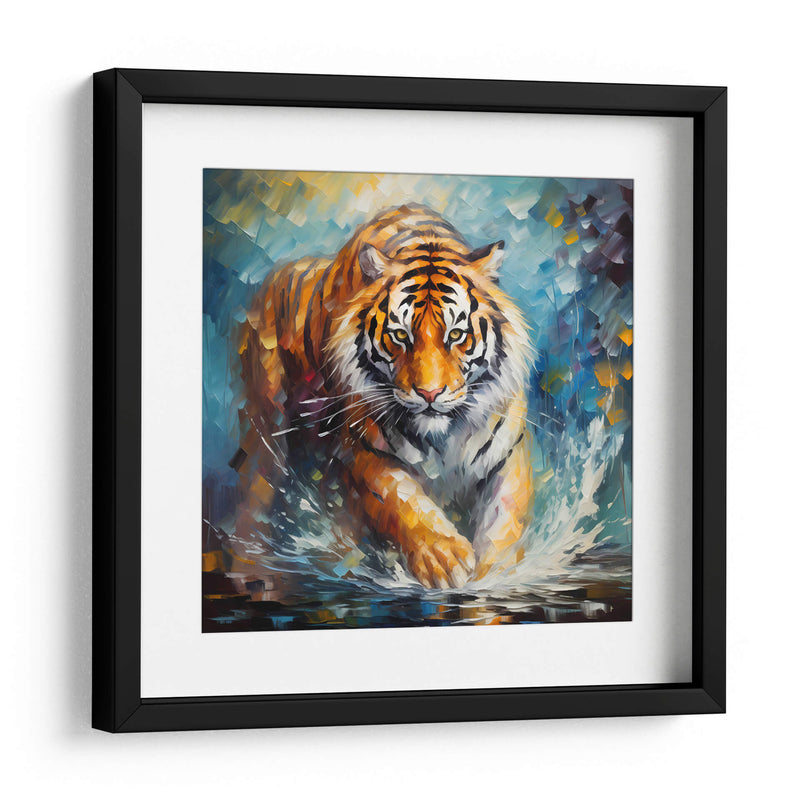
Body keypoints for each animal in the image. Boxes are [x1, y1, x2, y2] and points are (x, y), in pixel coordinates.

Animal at [230, 204, 536, 590]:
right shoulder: (365, 451)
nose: (429, 393)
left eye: (456, 334)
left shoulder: (506, 456)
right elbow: (403, 502)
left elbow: (504, 524)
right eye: (400, 335)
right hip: (266, 429)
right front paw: (444, 557)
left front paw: (497, 574)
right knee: (255, 495)